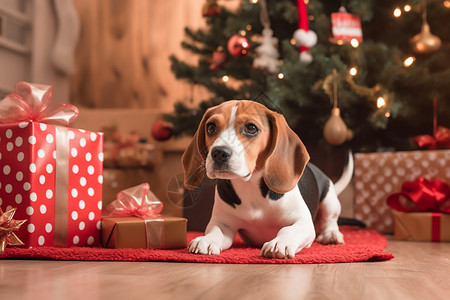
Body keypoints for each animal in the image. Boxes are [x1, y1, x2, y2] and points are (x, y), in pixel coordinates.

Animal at [183, 100, 352, 258]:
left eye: (251, 128)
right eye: (211, 127)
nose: (218, 153)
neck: (249, 186)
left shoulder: (302, 221)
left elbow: (288, 230)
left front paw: (280, 242)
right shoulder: (223, 223)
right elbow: (216, 231)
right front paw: (206, 239)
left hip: (330, 201)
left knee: (329, 221)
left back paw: (331, 235)